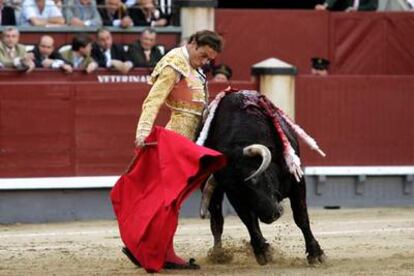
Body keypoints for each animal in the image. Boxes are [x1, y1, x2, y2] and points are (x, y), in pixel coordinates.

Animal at [202, 91, 326, 266]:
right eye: (234, 191)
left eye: (255, 179)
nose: (270, 216)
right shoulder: (235, 199)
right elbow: (249, 221)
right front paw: (262, 251)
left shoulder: (297, 181)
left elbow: (301, 216)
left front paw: (315, 254)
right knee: (217, 220)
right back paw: (219, 254)